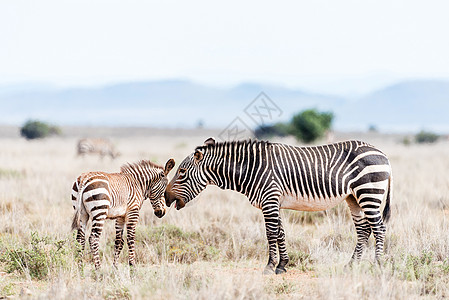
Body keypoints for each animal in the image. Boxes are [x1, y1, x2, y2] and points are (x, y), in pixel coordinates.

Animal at [165, 138, 392, 274]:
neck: (252, 168)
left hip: (369, 193)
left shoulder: (270, 199)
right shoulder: (275, 202)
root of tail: (383, 153)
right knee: (363, 230)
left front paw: (269, 266)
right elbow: (281, 233)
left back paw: (378, 265)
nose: (166, 198)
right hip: (353, 198)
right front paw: (282, 265)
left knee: (379, 228)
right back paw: (351, 265)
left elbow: (271, 233)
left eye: (182, 172)